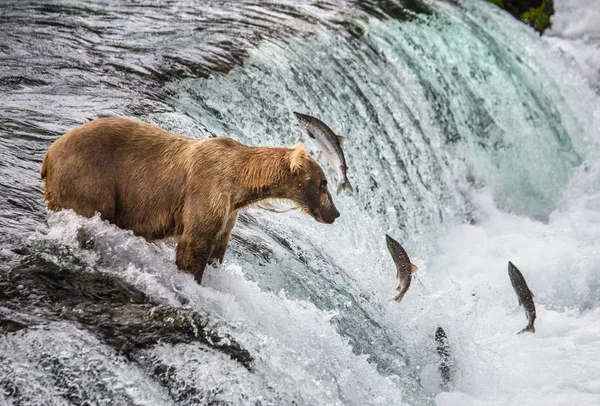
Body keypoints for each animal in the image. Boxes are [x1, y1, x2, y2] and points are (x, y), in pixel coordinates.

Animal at [42, 116, 340, 282]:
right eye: (323, 183)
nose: (335, 214)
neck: (241, 183)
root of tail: (49, 153)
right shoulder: (206, 190)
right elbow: (194, 245)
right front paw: (192, 278)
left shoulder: (228, 212)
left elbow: (217, 246)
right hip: (90, 178)